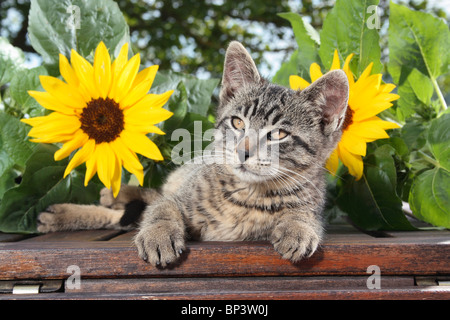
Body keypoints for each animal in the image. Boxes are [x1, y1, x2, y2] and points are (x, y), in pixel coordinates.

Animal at [37, 42, 348, 268]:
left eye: (279, 134)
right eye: (238, 123)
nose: (243, 151)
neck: (247, 194)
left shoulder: (313, 198)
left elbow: (305, 213)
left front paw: (299, 227)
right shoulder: (180, 198)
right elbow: (160, 210)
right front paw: (159, 234)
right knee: (151, 199)